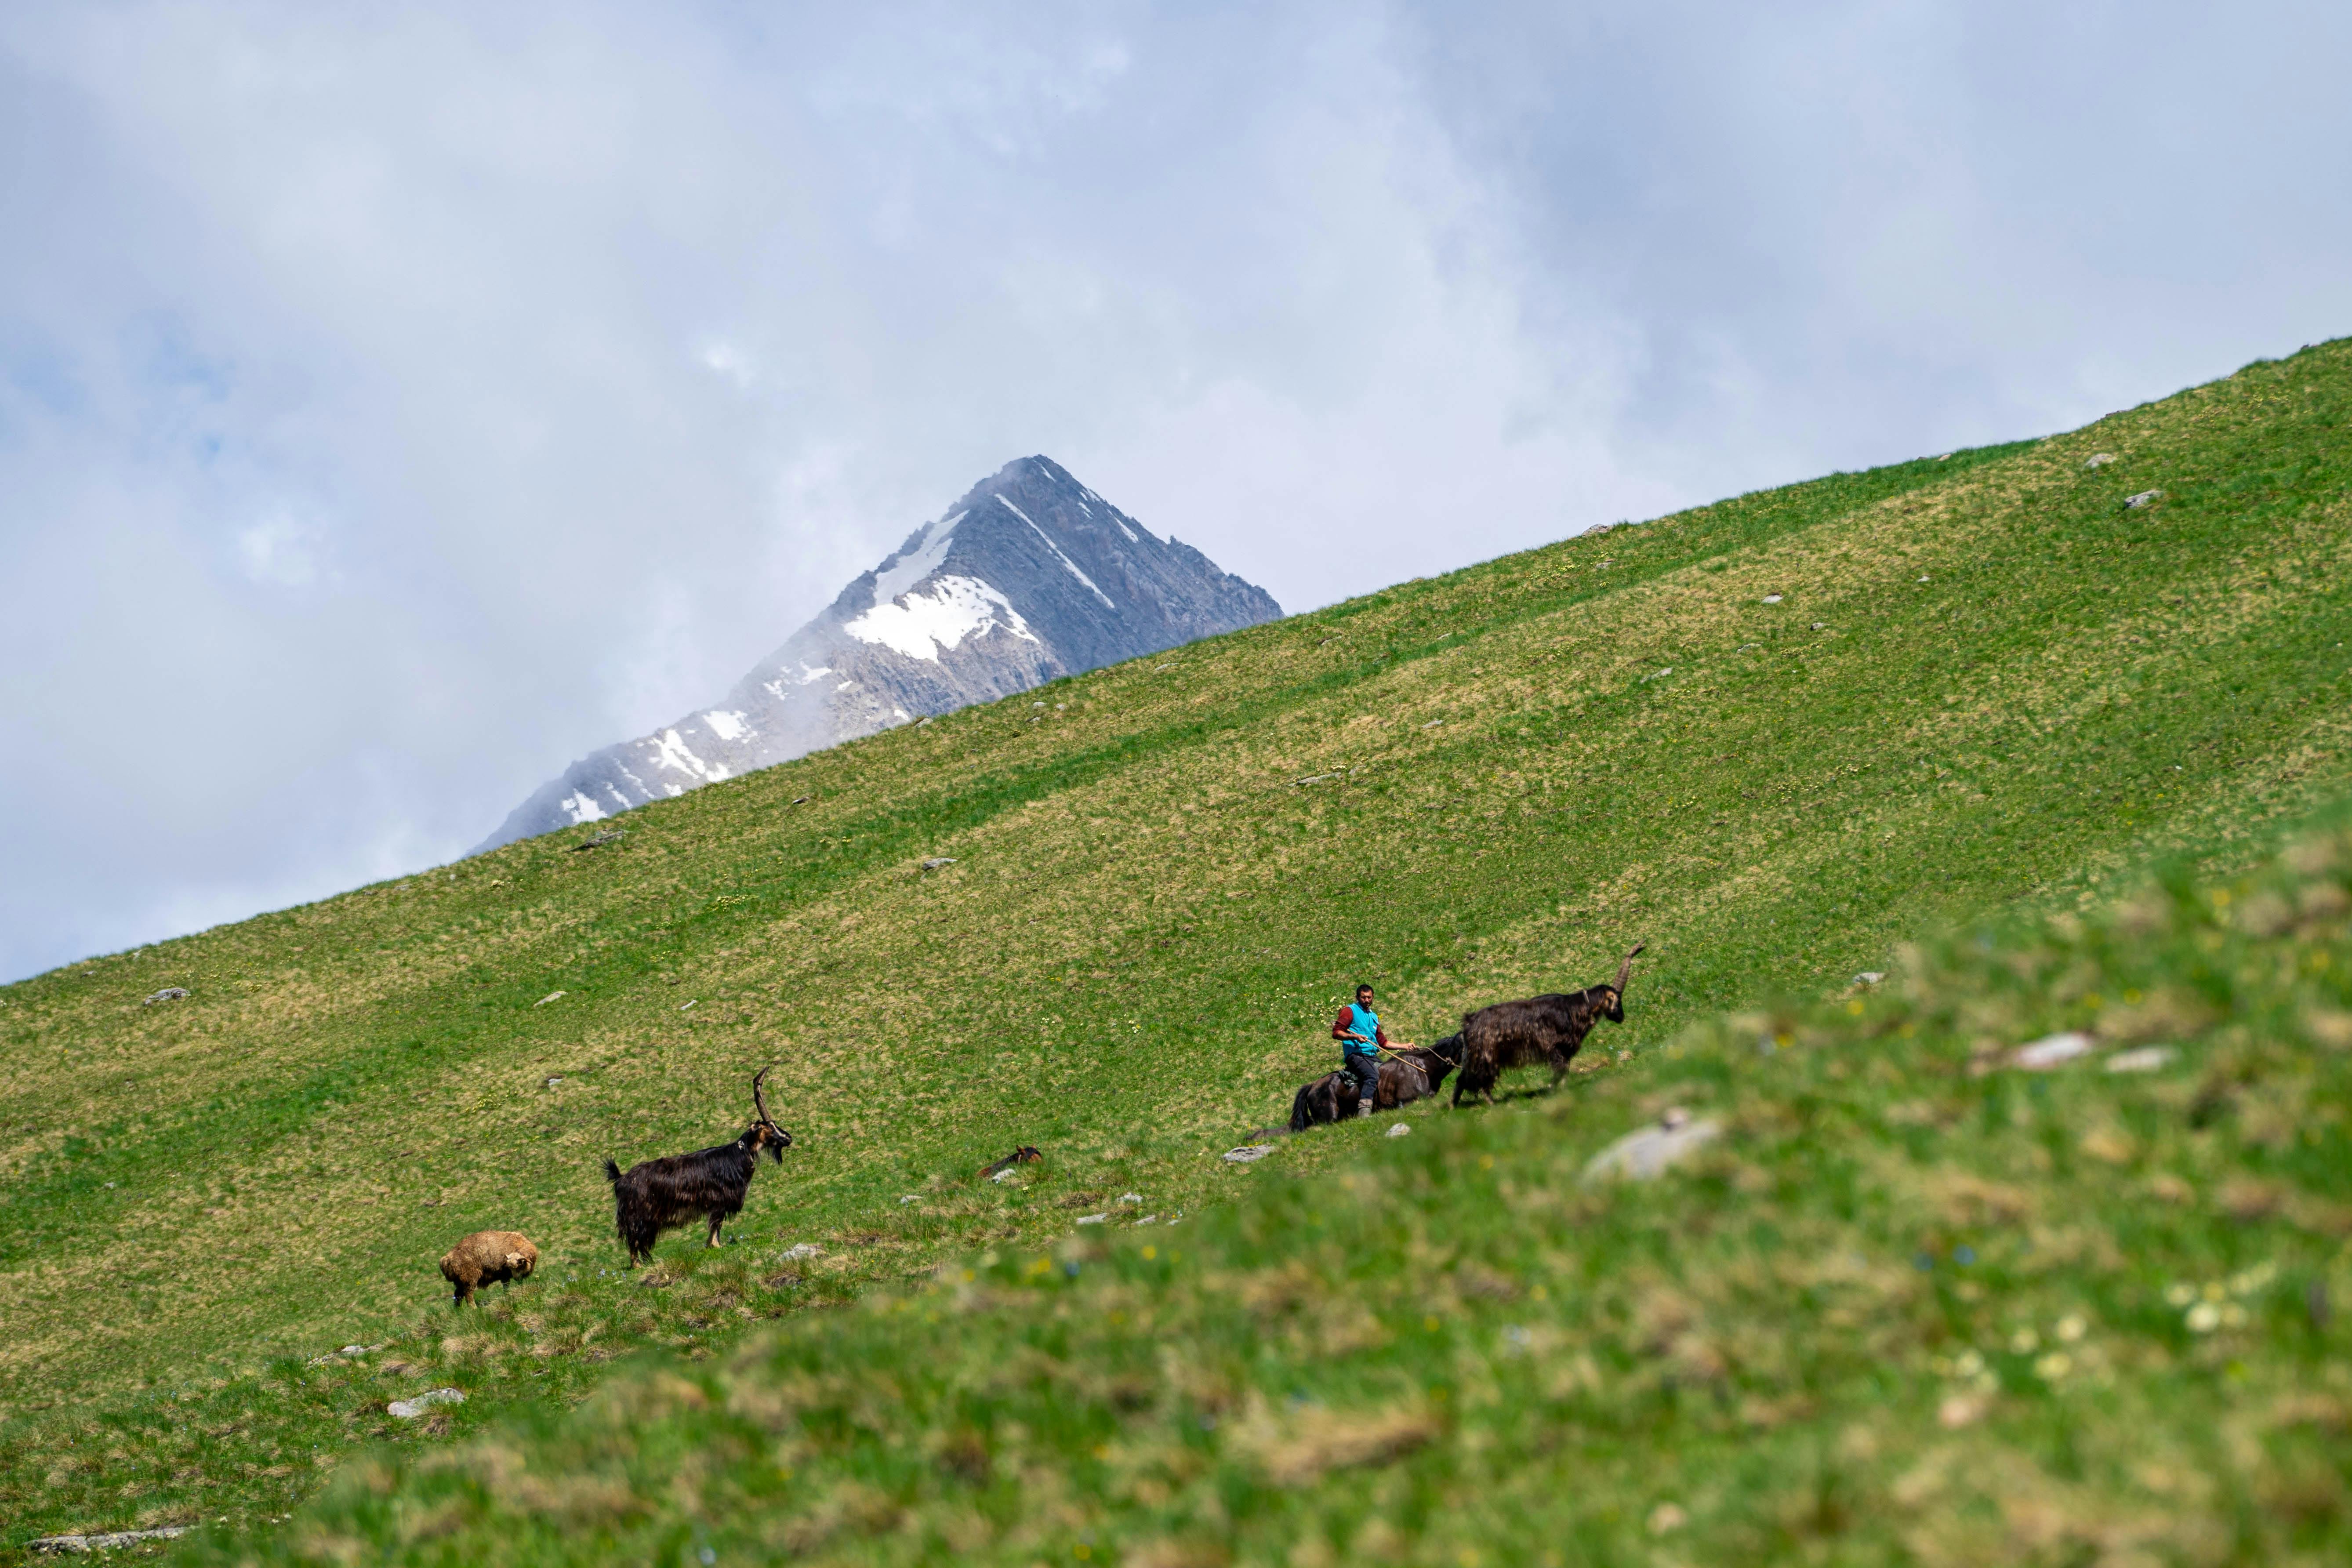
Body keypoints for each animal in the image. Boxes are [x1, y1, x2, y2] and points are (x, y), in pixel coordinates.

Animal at [602, 1067, 795, 1260]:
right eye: (770, 1127)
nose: (789, 1138)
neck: (738, 1154)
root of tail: (620, 1179)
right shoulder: (720, 1199)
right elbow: (716, 1224)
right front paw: (716, 1246)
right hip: (638, 1216)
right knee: (634, 1241)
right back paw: (639, 1264)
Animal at [1439, 945, 1646, 1105]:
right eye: (1618, 1001)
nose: (1621, 1017)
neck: (1575, 1008)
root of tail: (1468, 1022)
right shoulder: (1554, 1047)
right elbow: (1560, 1071)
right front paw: (1555, 1090)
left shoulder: (1564, 1051)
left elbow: (1564, 1071)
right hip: (1485, 1057)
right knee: (1476, 1080)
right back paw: (1490, 1104)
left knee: (1463, 1079)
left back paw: (1454, 1106)